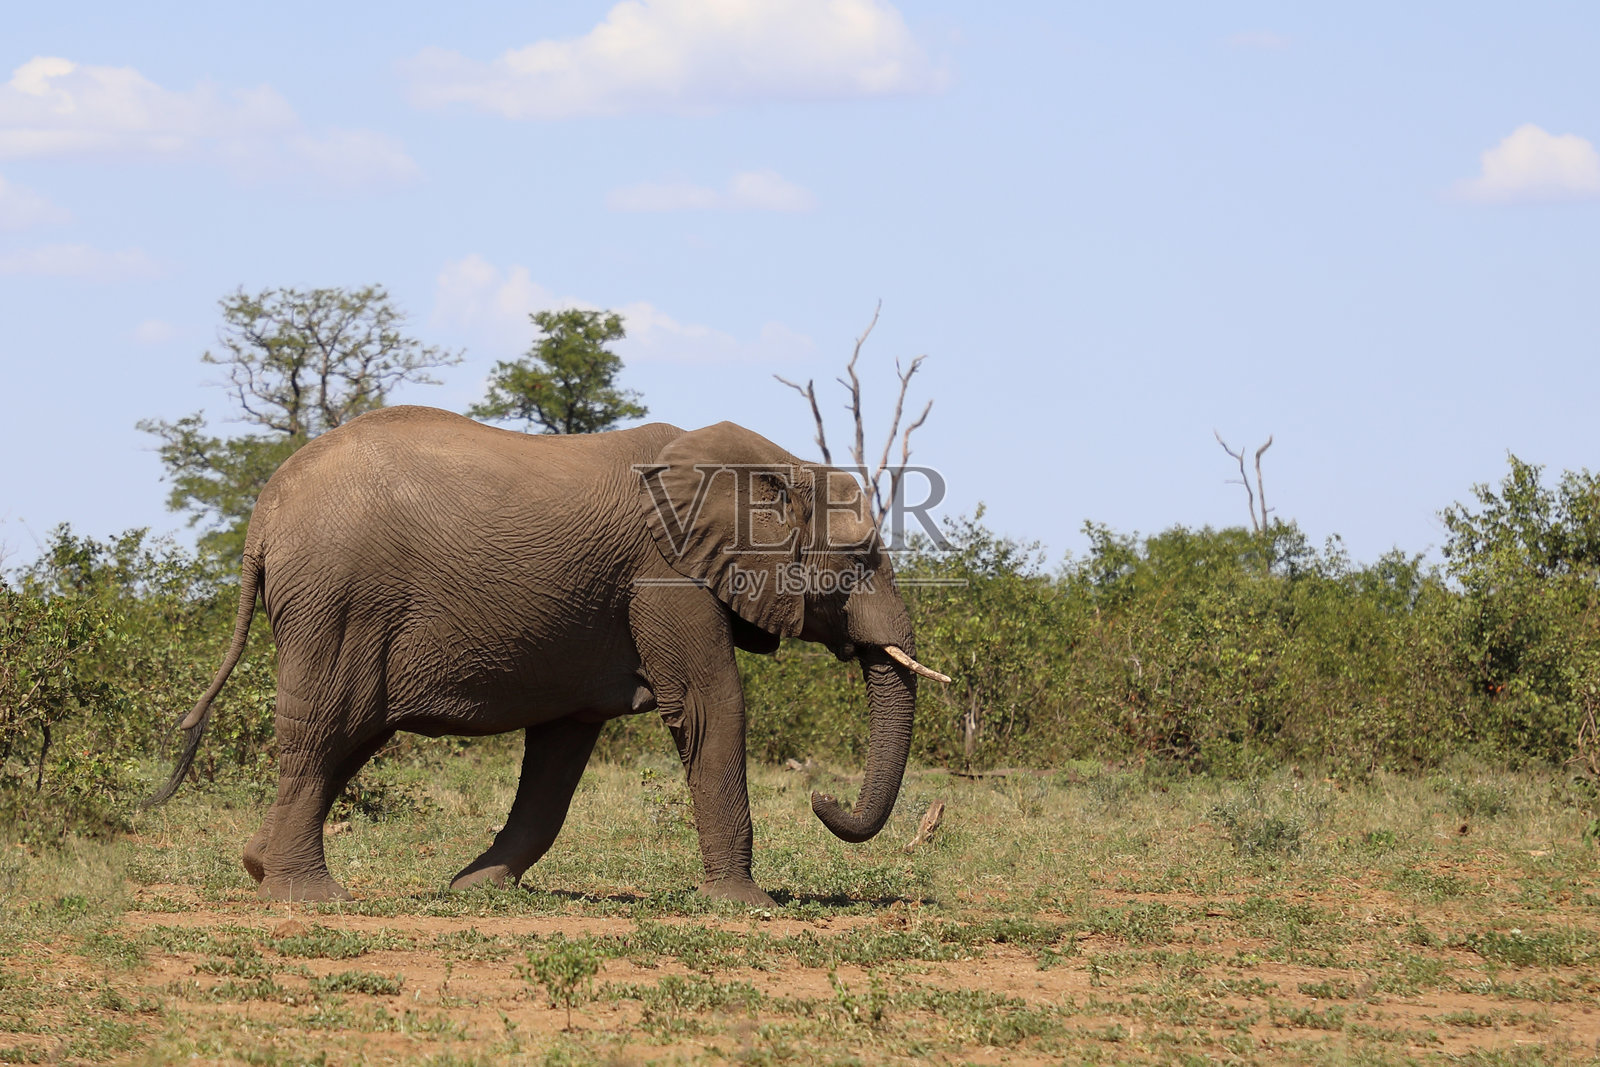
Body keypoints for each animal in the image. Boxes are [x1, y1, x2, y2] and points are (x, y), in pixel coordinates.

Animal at [148, 405, 949, 906]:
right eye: (861, 556)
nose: (823, 799)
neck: (772, 458)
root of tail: (264, 515)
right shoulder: (664, 574)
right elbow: (711, 704)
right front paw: (747, 905)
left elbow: (561, 750)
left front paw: (472, 890)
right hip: (337, 599)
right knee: (326, 730)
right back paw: (307, 895)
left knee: (348, 737)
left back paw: (261, 867)